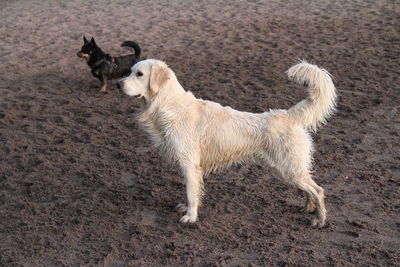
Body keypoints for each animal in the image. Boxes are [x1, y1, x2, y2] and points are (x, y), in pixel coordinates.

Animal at [117, 59, 336, 228]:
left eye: (139, 74)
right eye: (129, 71)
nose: (118, 84)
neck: (168, 105)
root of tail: (288, 115)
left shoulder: (189, 164)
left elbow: (190, 192)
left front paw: (190, 216)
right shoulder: (192, 167)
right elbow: (193, 191)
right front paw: (186, 208)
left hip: (288, 167)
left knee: (318, 190)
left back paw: (320, 220)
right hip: (290, 169)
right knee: (309, 189)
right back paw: (307, 208)